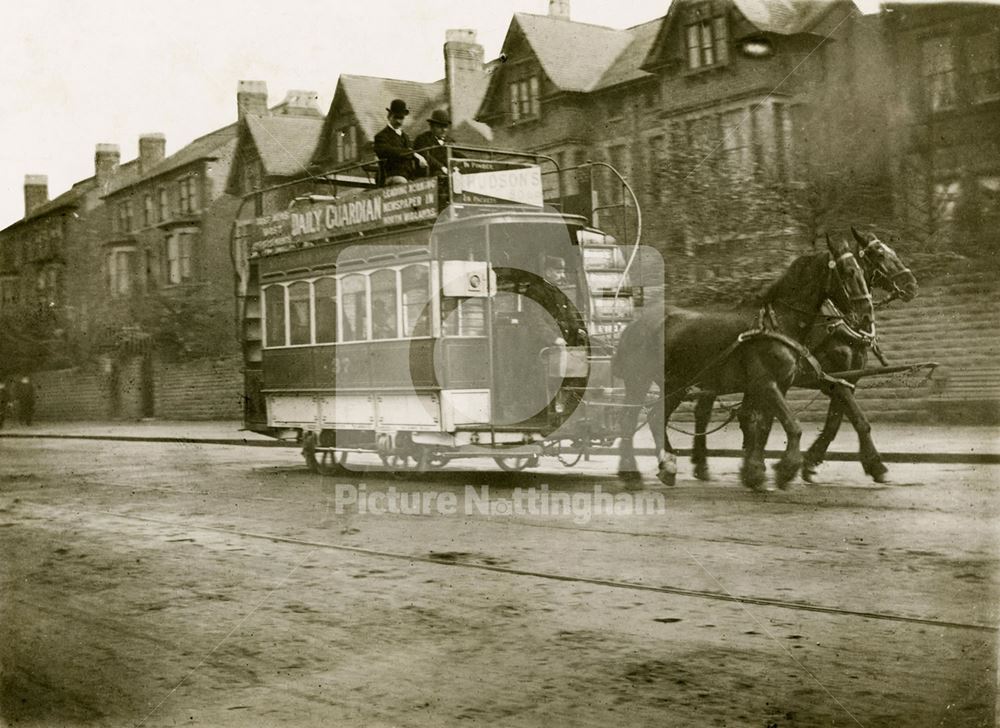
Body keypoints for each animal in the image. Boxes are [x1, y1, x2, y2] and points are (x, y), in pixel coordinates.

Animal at [608, 236, 876, 492]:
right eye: (849, 272)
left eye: (862, 270)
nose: (866, 315)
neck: (776, 323)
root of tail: (635, 325)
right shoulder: (766, 383)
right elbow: (791, 425)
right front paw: (784, 470)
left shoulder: (780, 385)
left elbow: (763, 426)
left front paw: (755, 472)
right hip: (640, 381)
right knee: (629, 421)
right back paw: (633, 474)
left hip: (676, 384)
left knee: (655, 417)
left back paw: (667, 467)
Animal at [692, 228, 916, 484]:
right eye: (879, 254)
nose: (912, 284)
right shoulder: (835, 380)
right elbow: (857, 421)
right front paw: (874, 464)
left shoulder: (847, 379)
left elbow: (834, 422)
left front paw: (810, 461)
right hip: (716, 379)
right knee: (704, 413)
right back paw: (703, 464)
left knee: (743, 414)